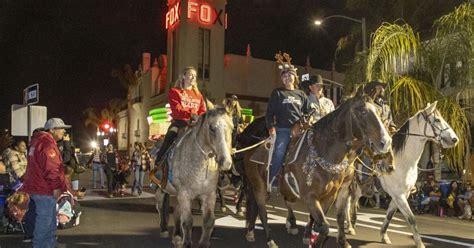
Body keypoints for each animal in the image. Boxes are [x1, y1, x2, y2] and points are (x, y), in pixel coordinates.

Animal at [161, 107, 235, 248]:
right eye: (212, 128)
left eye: (232, 128)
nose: (226, 163)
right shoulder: (184, 194)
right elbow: (188, 221)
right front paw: (186, 243)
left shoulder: (209, 194)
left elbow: (208, 221)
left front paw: (203, 244)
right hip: (162, 189)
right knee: (161, 206)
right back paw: (164, 229)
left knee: (177, 211)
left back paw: (177, 236)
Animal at [243, 89, 390, 248]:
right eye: (363, 111)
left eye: (378, 112)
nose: (386, 142)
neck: (323, 154)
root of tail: (253, 147)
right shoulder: (310, 197)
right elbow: (324, 226)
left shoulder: (330, 196)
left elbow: (325, 224)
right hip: (258, 186)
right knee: (263, 211)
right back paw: (270, 240)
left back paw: (253, 232)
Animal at [346, 101, 458, 248]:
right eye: (437, 120)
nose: (455, 139)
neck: (404, 160)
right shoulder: (399, 196)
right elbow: (411, 218)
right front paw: (420, 243)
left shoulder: (401, 195)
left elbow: (389, 215)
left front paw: (384, 236)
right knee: (348, 203)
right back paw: (349, 226)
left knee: (350, 202)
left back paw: (350, 225)